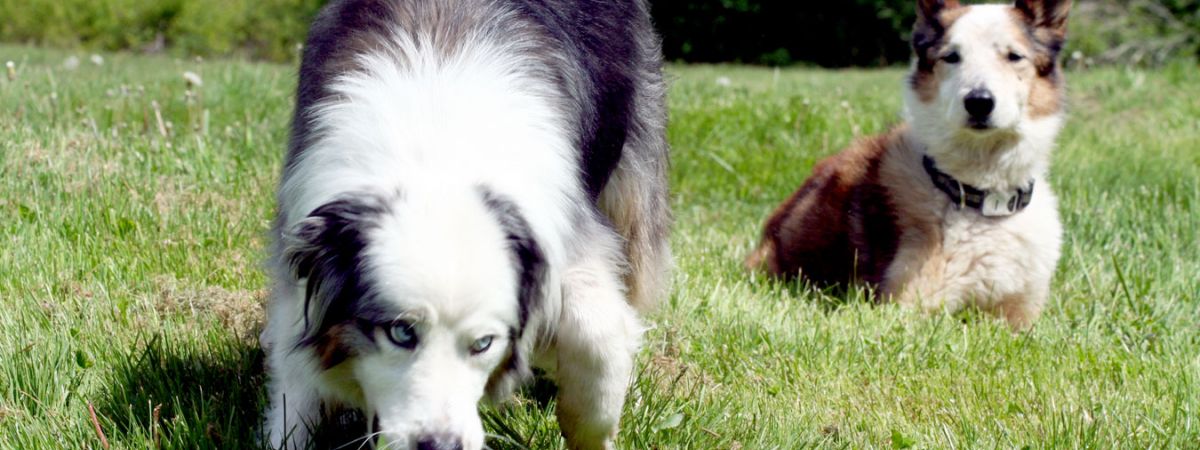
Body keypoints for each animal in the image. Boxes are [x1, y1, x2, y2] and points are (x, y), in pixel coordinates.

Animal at [260, 0, 671, 448]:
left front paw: (591, 429)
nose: (440, 446)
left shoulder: (572, 235)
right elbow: (297, 377)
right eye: (401, 332)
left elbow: (596, 332)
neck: (434, 157)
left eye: (484, 344)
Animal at [746, 0, 1071, 329]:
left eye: (1014, 56)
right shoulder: (906, 308)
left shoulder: (1023, 313)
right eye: (952, 57)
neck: (983, 199)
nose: (979, 102)